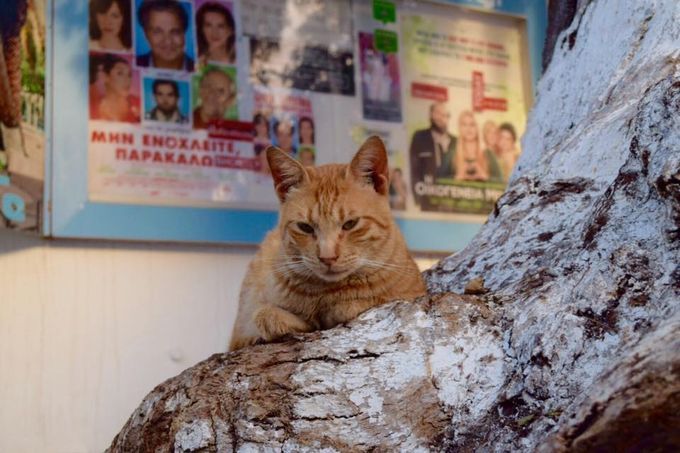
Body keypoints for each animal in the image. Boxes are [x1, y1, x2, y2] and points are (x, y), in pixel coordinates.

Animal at [231, 135, 428, 350]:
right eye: (305, 227)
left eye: (350, 224)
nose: (327, 257)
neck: (330, 292)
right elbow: (264, 316)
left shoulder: (413, 295)